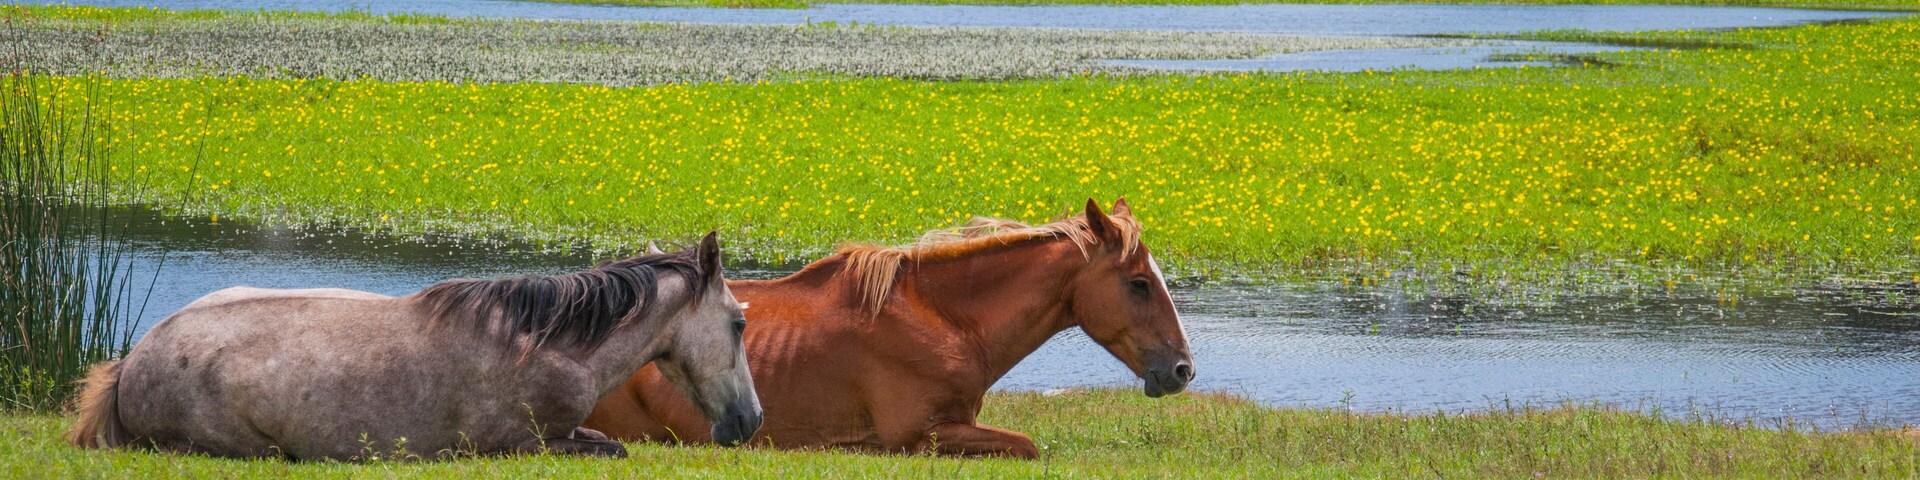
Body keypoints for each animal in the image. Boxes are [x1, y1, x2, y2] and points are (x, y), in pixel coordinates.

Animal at [66, 233, 762, 461]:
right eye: (738, 324)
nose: (751, 420)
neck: (548, 344)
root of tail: (135, 360)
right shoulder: (519, 445)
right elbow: (613, 447)